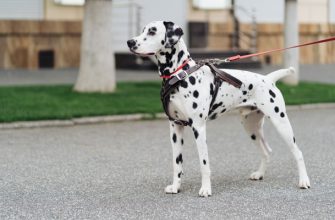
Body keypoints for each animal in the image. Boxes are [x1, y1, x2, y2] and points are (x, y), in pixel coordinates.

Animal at [127, 20, 312, 197]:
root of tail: (268, 79)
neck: (180, 75)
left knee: (298, 152)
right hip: (251, 128)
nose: (130, 42)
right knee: (266, 151)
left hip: (281, 123)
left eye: (152, 31)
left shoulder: (198, 128)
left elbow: (204, 164)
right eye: (143, 30)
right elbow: (177, 163)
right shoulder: (175, 128)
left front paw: (205, 189)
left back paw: (304, 181)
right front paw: (175, 187)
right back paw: (259, 174)